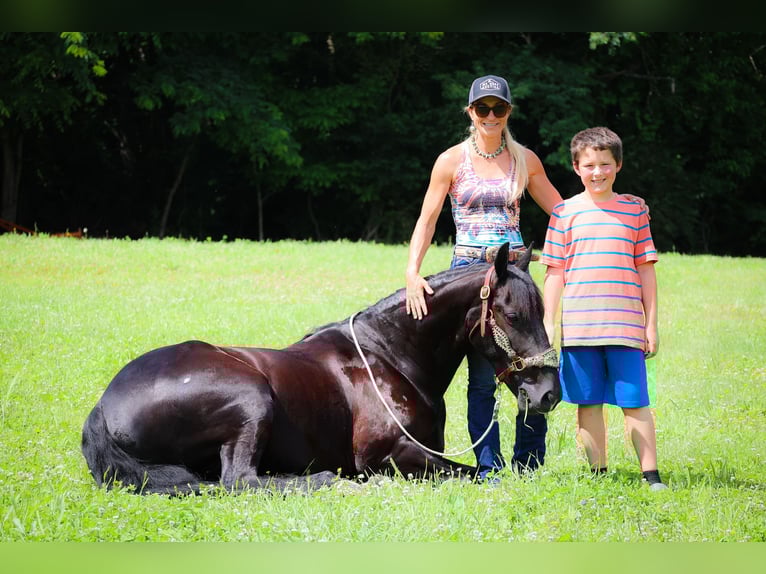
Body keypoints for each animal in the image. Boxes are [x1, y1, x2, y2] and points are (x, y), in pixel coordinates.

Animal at [81, 242, 560, 495]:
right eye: (513, 315)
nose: (548, 394)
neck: (392, 355)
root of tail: (103, 407)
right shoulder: (389, 455)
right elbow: (479, 474)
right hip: (251, 398)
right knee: (240, 480)